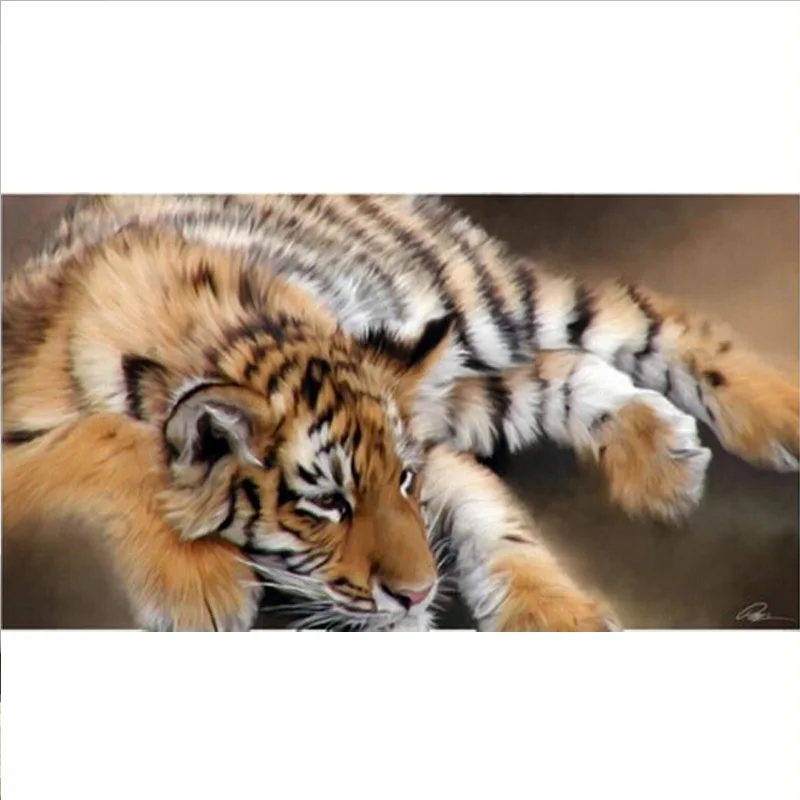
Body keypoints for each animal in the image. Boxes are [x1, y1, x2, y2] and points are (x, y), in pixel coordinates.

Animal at [3, 195, 798, 631]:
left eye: (404, 481)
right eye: (325, 503)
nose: (419, 597)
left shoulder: (424, 445)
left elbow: (490, 518)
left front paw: (557, 620)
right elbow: (103, 438)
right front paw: (200, 584)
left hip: (477, 301)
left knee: (631, 309)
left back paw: (773, 421)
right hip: (454, 377)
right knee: (554, 368)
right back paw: (661, 460)